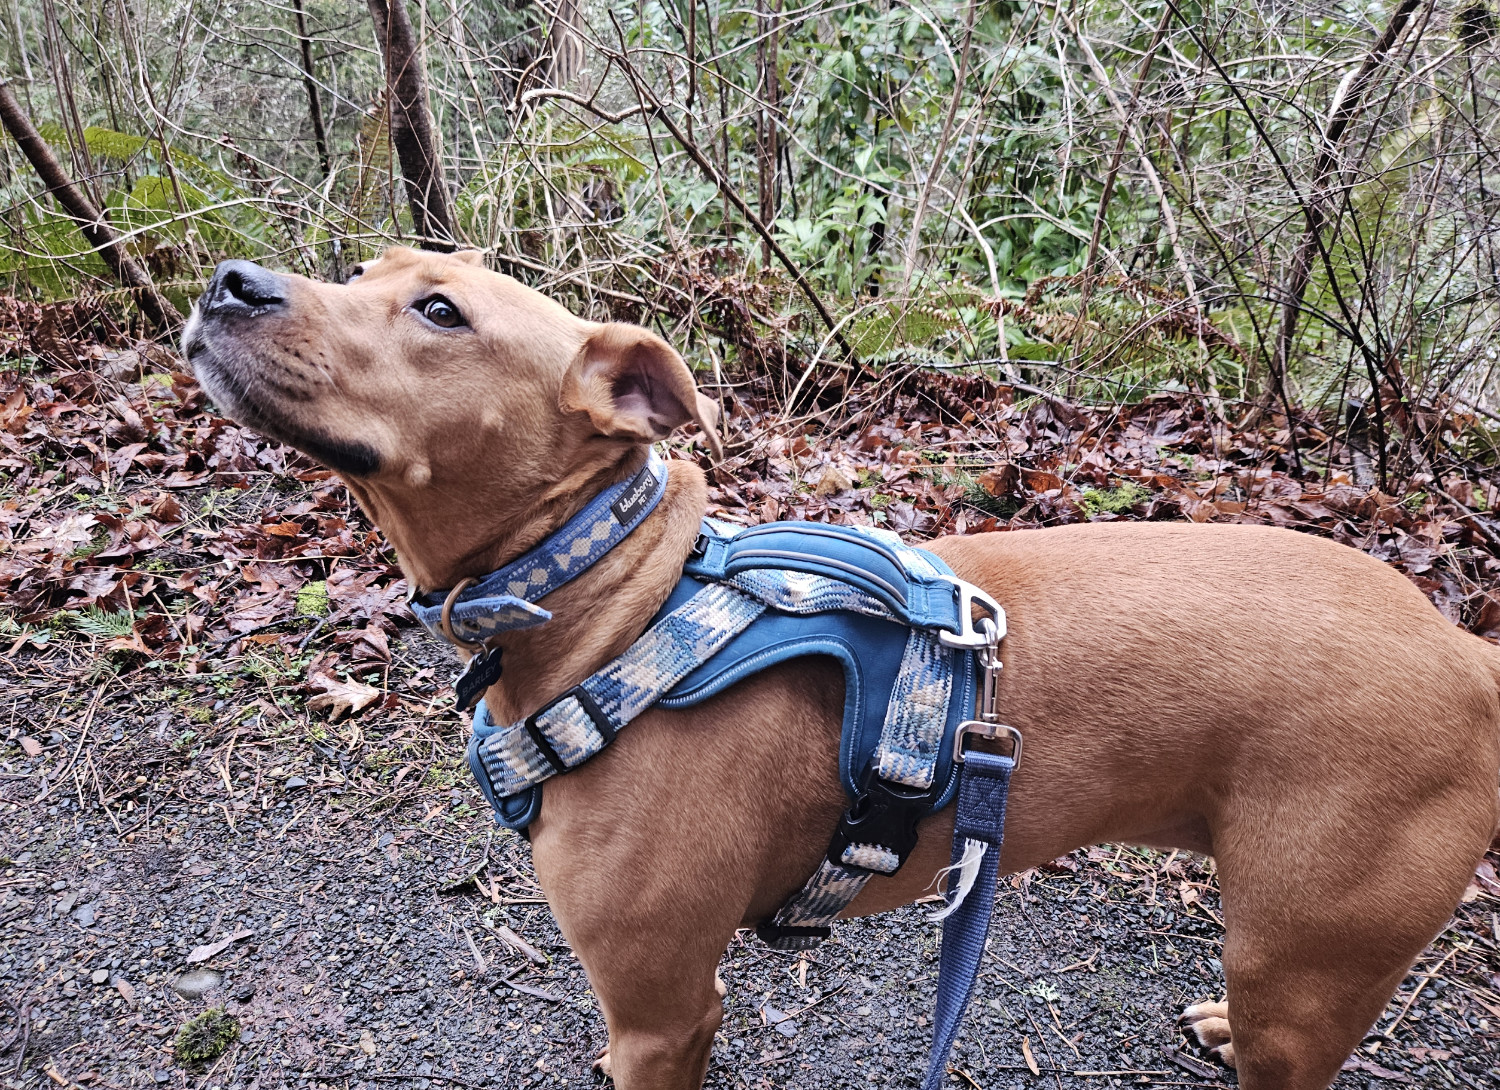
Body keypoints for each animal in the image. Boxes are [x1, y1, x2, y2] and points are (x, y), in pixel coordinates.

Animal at [184, 247, 1500, 1090]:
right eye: (363, 273)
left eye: (441, 314)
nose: (229, 281)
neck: (616, 596)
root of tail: (1463, 647)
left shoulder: (662, 1011)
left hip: (1306, 959)